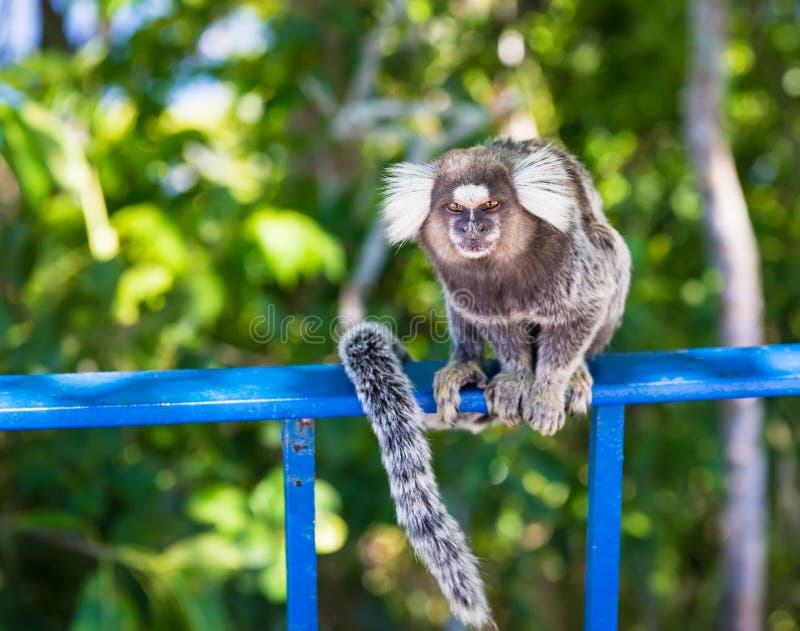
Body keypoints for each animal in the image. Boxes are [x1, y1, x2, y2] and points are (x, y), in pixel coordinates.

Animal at [338, 137, 632, 628]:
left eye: (491, 205)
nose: (472, 228)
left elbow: (584, 308)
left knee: (611, 249)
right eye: (455, 207)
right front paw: (516, 379)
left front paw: (549, 387)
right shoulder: (474, 292)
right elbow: (498, 327)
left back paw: (579, 373)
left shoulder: (575, 267)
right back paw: (465, 364)